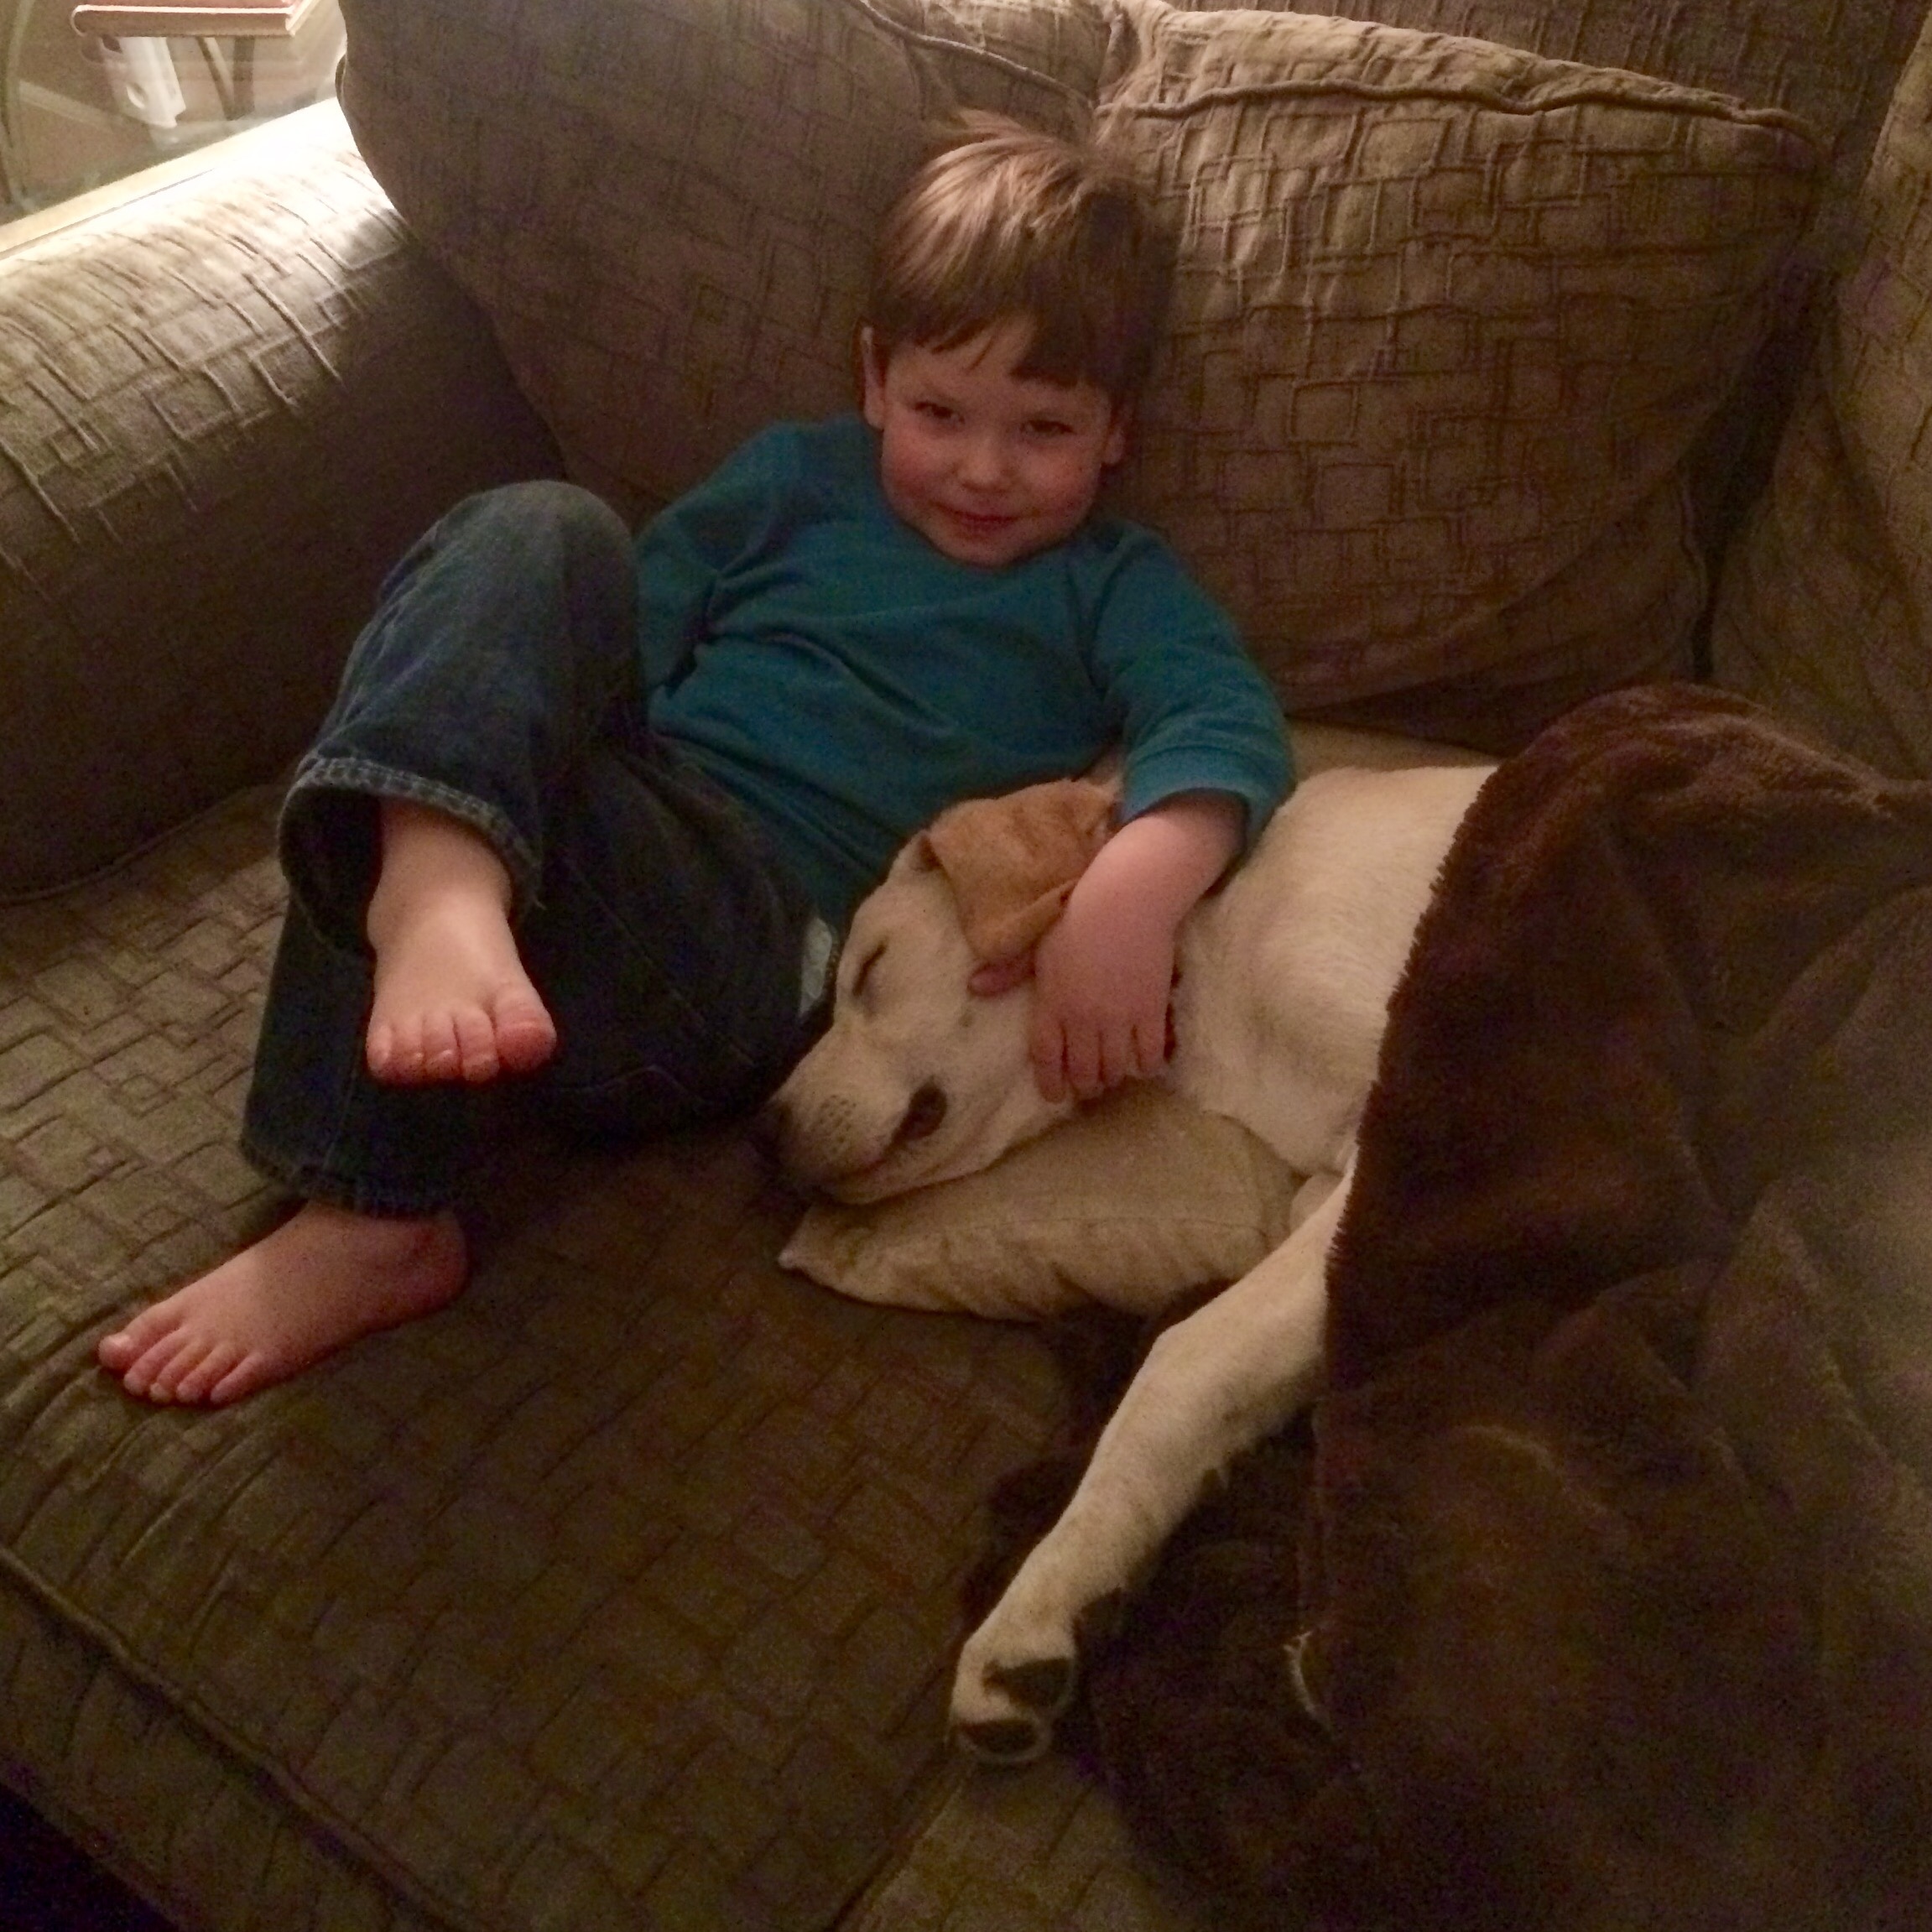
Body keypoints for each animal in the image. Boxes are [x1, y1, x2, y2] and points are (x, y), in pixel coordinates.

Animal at [764, 723, 1493, 1761]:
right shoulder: (1327, 1198)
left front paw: (1034, 1607)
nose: (763, 1132)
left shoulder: (1393, 1141)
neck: (1203, 964)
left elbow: (1179, 1363)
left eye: (867, 969)